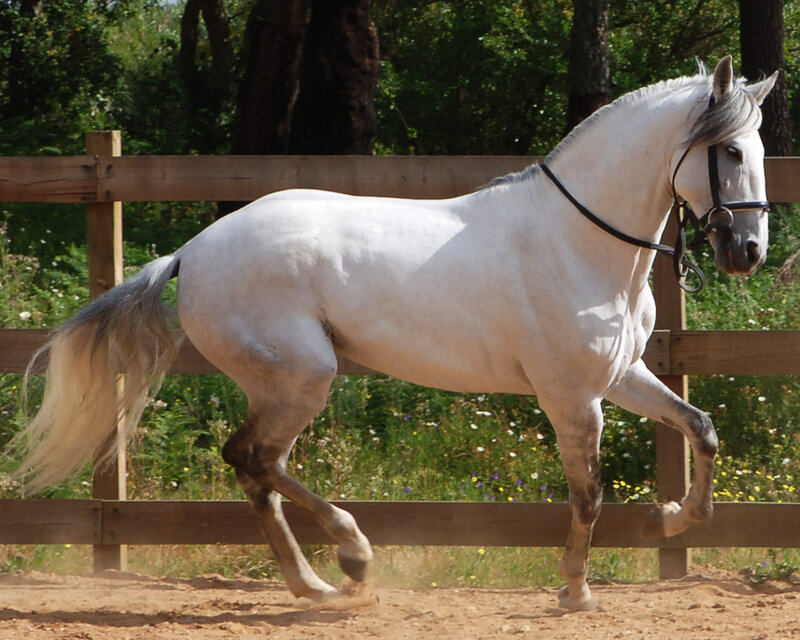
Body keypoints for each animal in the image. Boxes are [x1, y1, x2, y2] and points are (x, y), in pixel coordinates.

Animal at [12, 56, 776, 611]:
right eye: (731, 151)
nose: (748, 252)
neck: (579, 240)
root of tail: (192, 251)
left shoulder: (619, 378)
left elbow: (701, 428)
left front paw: (667, 520)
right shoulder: (570, 396)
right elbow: (587, 493)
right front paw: (575, 592)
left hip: (286, 383)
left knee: (256, 468)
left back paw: (318, 582)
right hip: (303, 378)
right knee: (252, 459)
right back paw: (348, 559)